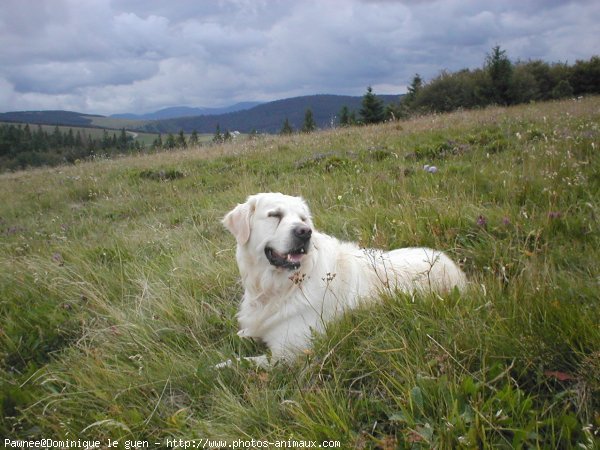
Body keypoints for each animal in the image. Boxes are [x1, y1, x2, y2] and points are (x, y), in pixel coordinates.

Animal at [223, 192, 466, 366]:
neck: (281, 287)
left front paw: (219, 367)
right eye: (274, 215)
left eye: (303, 219)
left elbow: (237, 363)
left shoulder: (289, 353)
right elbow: (240, 334)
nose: (305, 232)